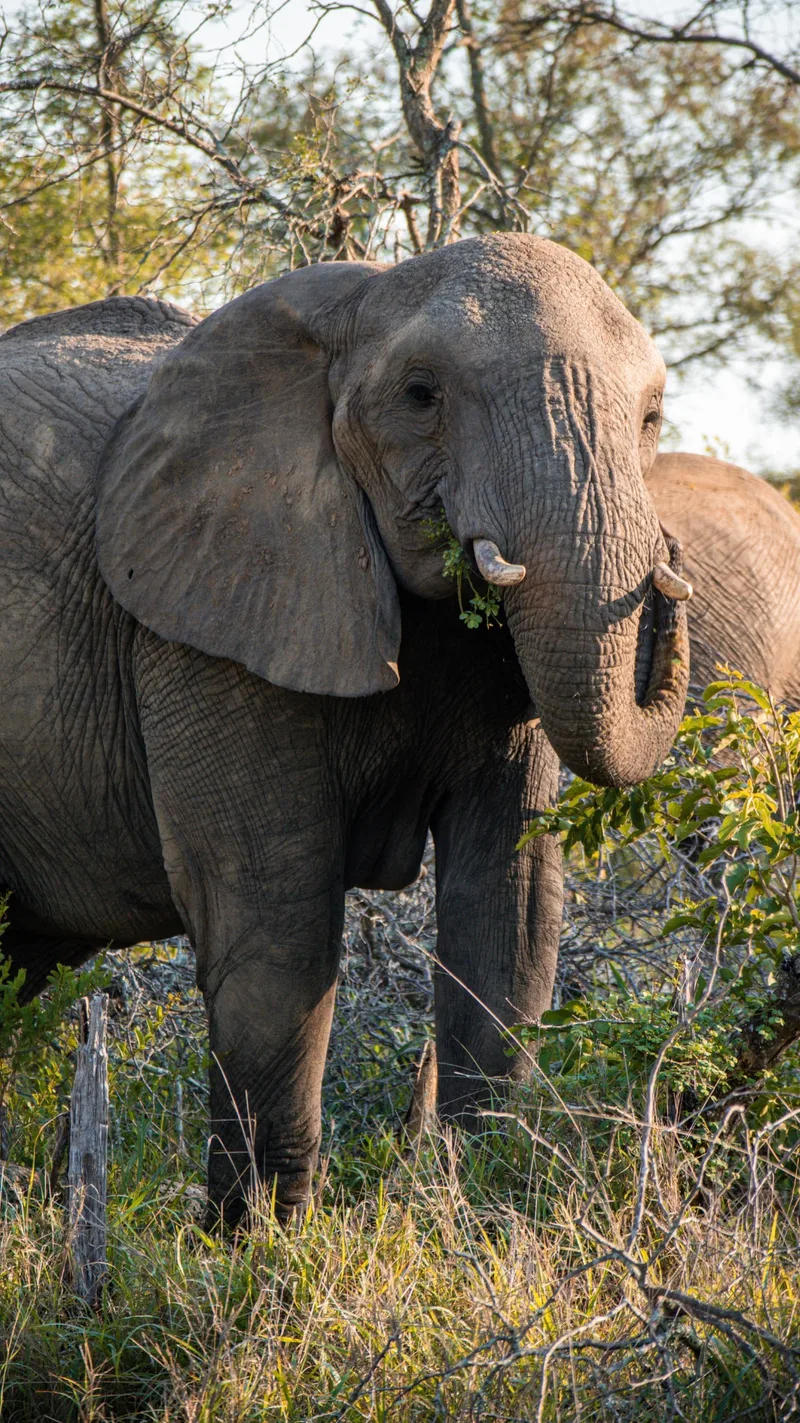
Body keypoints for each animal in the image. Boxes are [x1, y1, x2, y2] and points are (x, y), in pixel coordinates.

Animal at [0, 234, 689, 1222]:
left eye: (651, 417)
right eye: (420, 395)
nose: (670, 562)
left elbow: (509, 911)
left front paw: (484, 1207)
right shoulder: (205, 610)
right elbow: (277, 917)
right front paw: (261, 1242)